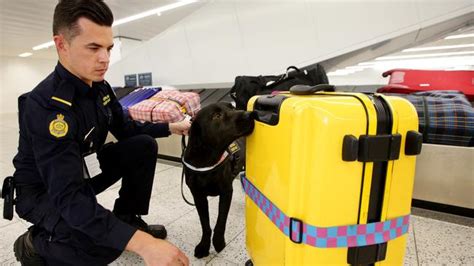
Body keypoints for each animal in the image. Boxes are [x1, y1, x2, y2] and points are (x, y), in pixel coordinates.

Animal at [182, 101, 256, 258]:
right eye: (217, 116)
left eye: (232, 107)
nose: (250, 114)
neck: (207, 160)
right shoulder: (198, 196)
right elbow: (205, 224)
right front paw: (204, 246)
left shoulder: (226, 192)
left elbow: (220, 221)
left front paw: (218, 242)